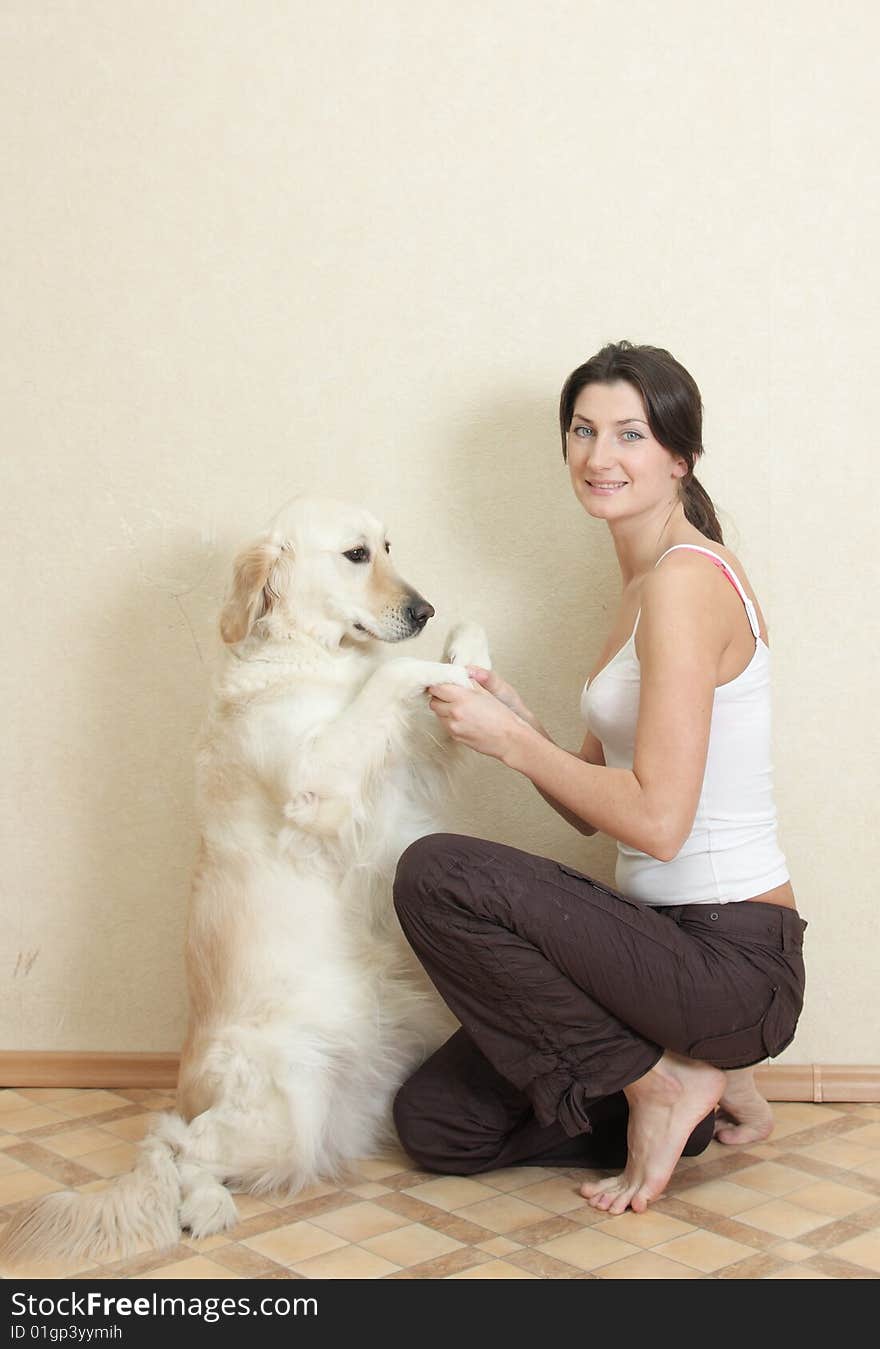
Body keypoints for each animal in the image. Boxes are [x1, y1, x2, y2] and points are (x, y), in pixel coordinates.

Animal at [0, 496, 488, 1262]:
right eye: (355, 554)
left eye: (389, 546)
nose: (425, 610)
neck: (315, 658)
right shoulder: (320, 785)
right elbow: (391, 679)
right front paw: (434, 664)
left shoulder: (404, 767)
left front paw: (467, 647)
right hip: (282, 1106)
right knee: (172, 1145)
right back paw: (203, 1207)